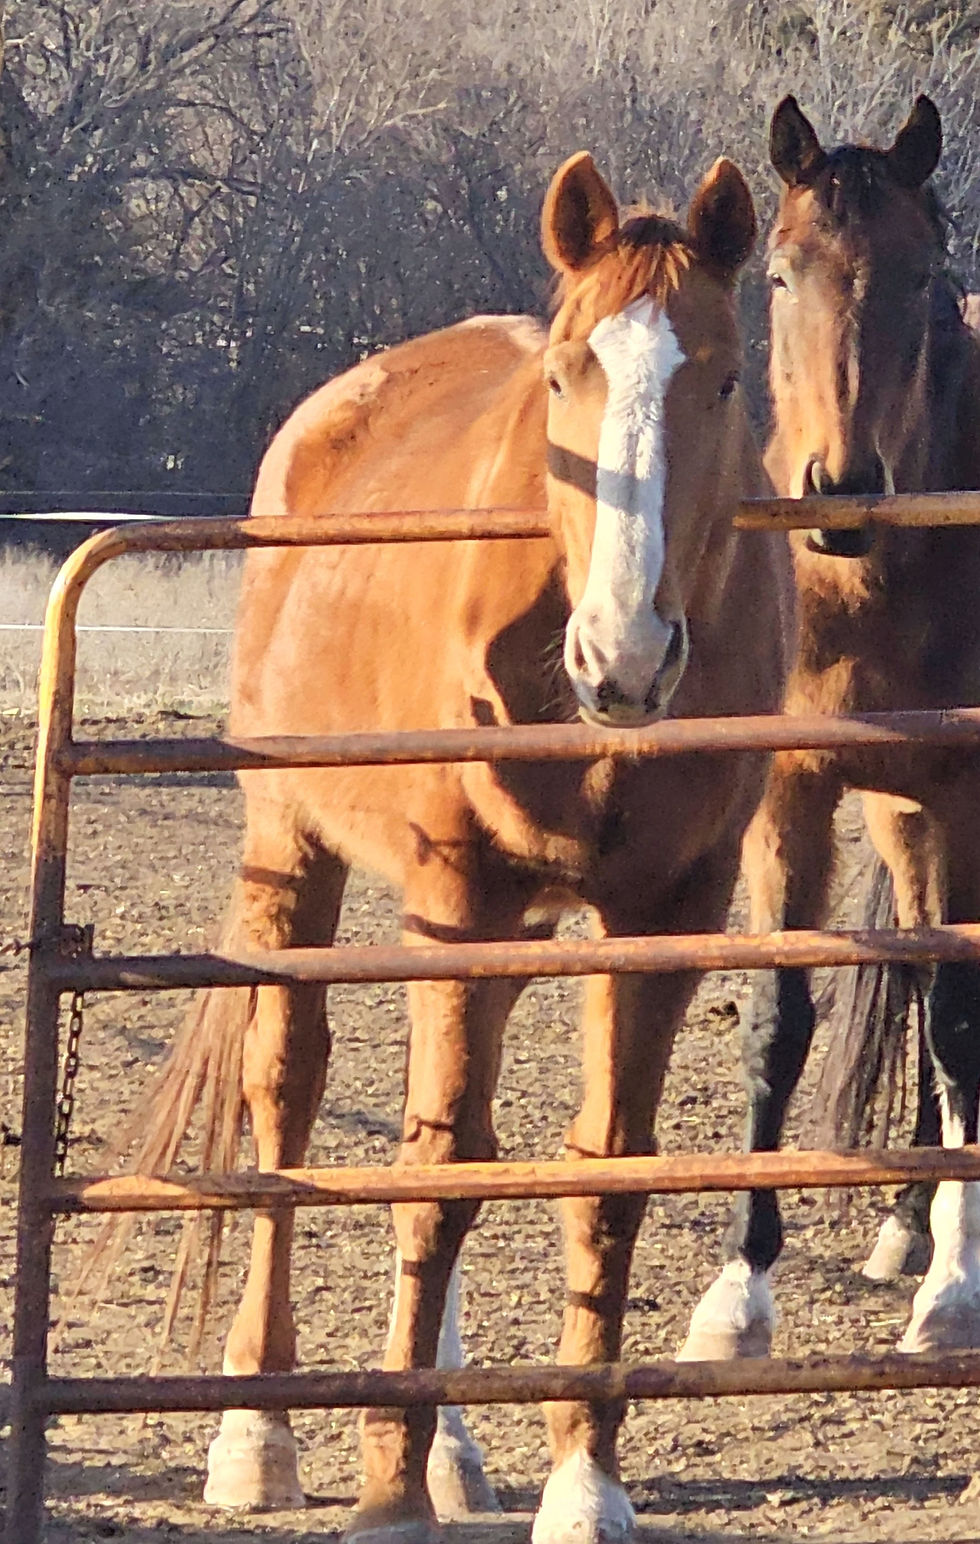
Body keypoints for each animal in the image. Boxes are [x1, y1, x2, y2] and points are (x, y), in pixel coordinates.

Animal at [117, 149, 790, 1544]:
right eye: (566, 374)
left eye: (723, 376)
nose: (623, 657)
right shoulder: (457, 894)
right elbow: (430, 1173)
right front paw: (382, 1488)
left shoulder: (663, 913)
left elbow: (600, 1176)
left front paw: (582, 1481)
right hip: (300, 855)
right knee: (289, 1096)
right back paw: (258, 1431)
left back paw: (455, 1446)